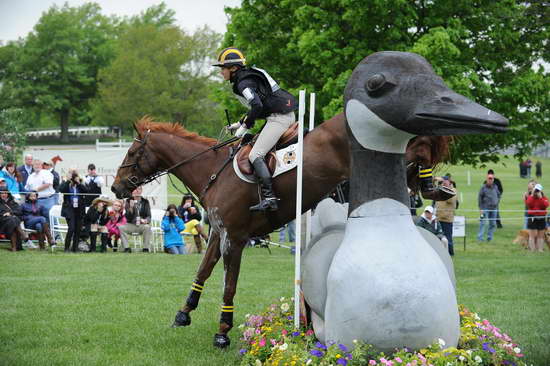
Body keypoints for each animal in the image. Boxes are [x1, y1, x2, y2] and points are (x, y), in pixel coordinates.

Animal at [111, 113, 448, 348]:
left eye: (131, 154)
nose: (115, 188)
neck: (213, 171)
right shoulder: (219, 233)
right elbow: (203, 272)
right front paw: (184, 314)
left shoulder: (235, 239)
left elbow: (229, 285)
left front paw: (222, 333)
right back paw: (427, 183)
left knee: (413, 148)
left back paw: (429, 180)